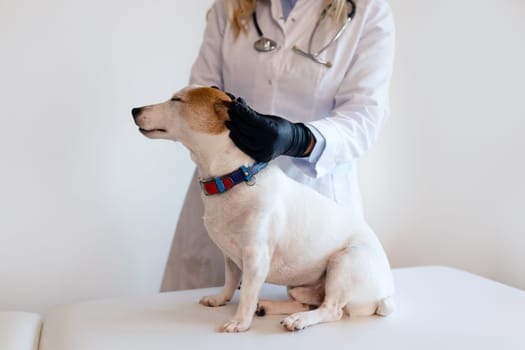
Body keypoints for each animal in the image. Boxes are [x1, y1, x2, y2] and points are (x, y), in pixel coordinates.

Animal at [131, 86, 392, 332]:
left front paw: (240, 322)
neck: (233, 177)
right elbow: (230, 281)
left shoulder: (256, 258)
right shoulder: (230, 257)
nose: (134, 110)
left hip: (344, 262)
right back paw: (271, 307)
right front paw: (221, 299)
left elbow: (247, 292)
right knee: (306, 302)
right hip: (300, 283)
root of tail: (384, 295)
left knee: (331, 309)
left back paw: (299, 319)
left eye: (177, 100)